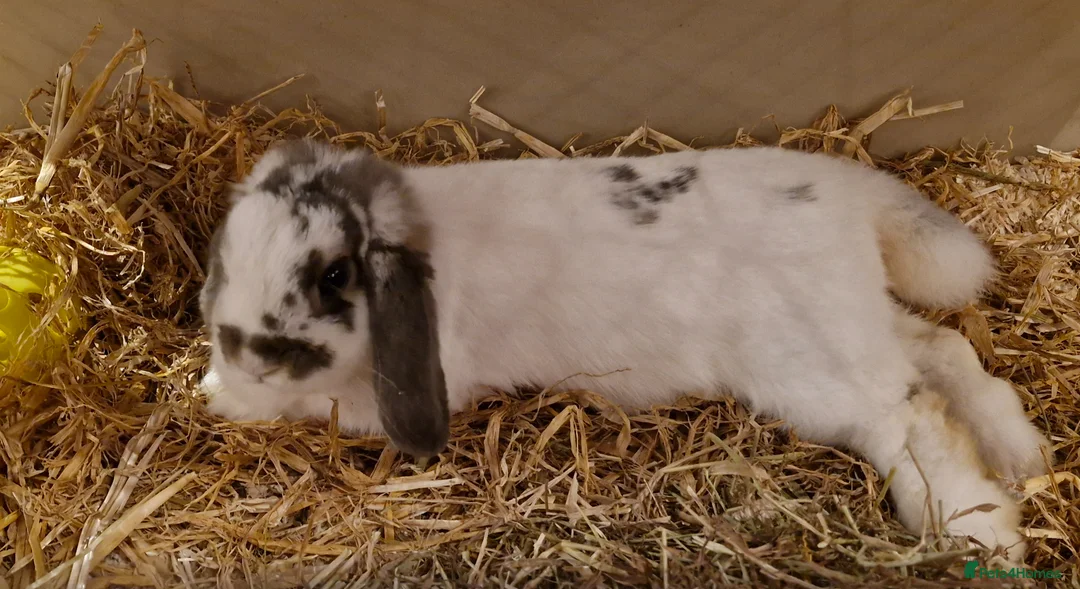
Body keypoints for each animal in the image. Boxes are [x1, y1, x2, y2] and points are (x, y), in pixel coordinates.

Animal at [198, 138, 1053, 560]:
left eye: (334, 274)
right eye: (226, 251)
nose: (246, 347)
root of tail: (847, 196)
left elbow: (297, 402)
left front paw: (218, 392)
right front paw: (213, 379)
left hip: (819, 368)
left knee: (913, 414)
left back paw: (981, 531)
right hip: (864, 322)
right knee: (947, 350)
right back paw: (1025, 456)